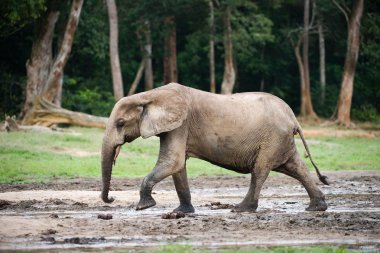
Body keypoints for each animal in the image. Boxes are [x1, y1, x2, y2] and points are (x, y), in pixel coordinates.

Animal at [101, 83, 330, 213]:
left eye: (120, 123)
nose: (111, 198)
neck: (149, 95)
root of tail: (293, 117)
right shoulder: (176, 127)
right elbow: (178, 166)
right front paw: (182, 212)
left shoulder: (181, 124)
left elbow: (172, 161)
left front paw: (143, 207)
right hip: (280, 140)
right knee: (295, 167)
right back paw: (316, 207)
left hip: (272, 139)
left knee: (260, 170)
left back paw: (241, 210)